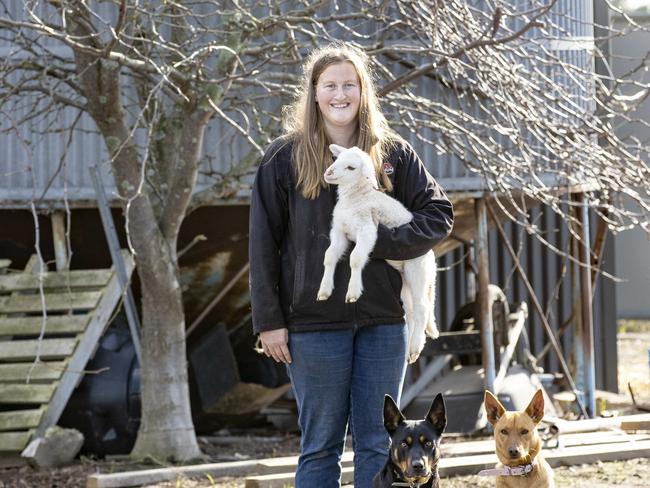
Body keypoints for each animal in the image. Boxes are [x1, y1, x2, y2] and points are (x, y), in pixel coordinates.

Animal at [316, 143, 438, 364]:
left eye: (351, 167)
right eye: (337, 159)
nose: (328, 173)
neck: (356, 198)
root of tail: (432, 262)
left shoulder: (367, 230)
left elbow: (356, 259)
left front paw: (353, 292)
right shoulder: (339, 230)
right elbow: (329, 256)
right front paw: (324, 290)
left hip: (417, 269)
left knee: (423, 308)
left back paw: (415, 346)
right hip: (404, 280)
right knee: (411, 311)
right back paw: (409, 350)